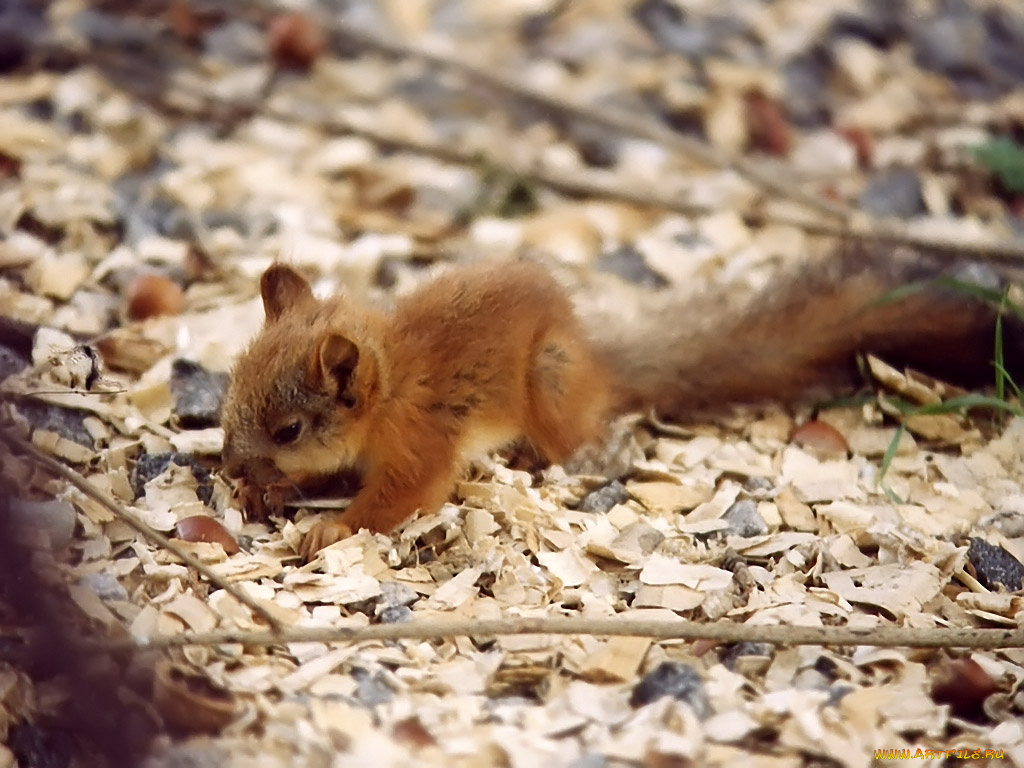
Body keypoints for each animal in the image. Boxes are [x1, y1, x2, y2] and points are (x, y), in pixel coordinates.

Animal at [218, 246, 1015, 561]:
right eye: (227, 397)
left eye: (288, 427)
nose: (227, 468)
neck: (389, 395)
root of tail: (600, 365)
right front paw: (268, 491)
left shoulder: (421, 445)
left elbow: (400, 496)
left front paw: (329, 527)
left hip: (549, 384)